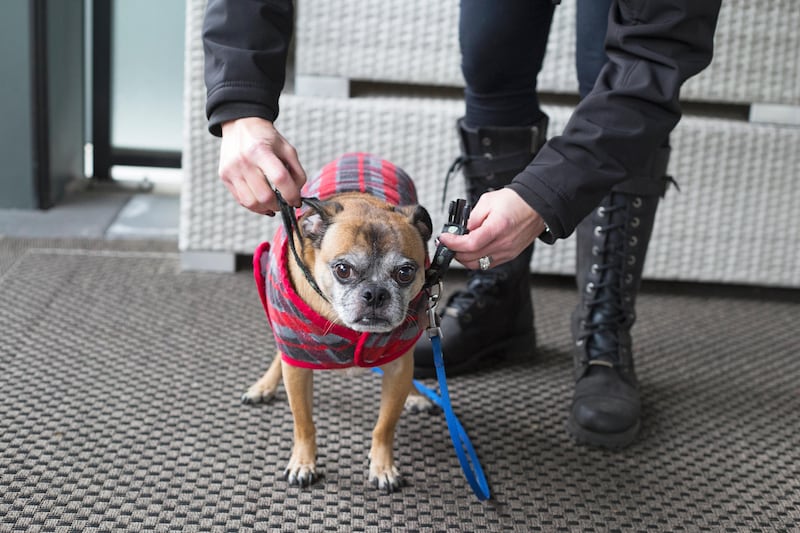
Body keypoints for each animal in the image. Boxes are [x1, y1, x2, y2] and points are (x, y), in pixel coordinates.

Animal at [245, 153, 434, 490]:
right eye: (343, 270)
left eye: (405, 272)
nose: (375, 294)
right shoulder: (297, 367)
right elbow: (304, 423)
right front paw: (303, 463)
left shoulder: (398, 367)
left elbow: (384, 426)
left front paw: (383, 467)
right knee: (279, 354)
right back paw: (264, 386)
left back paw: (415, 395)